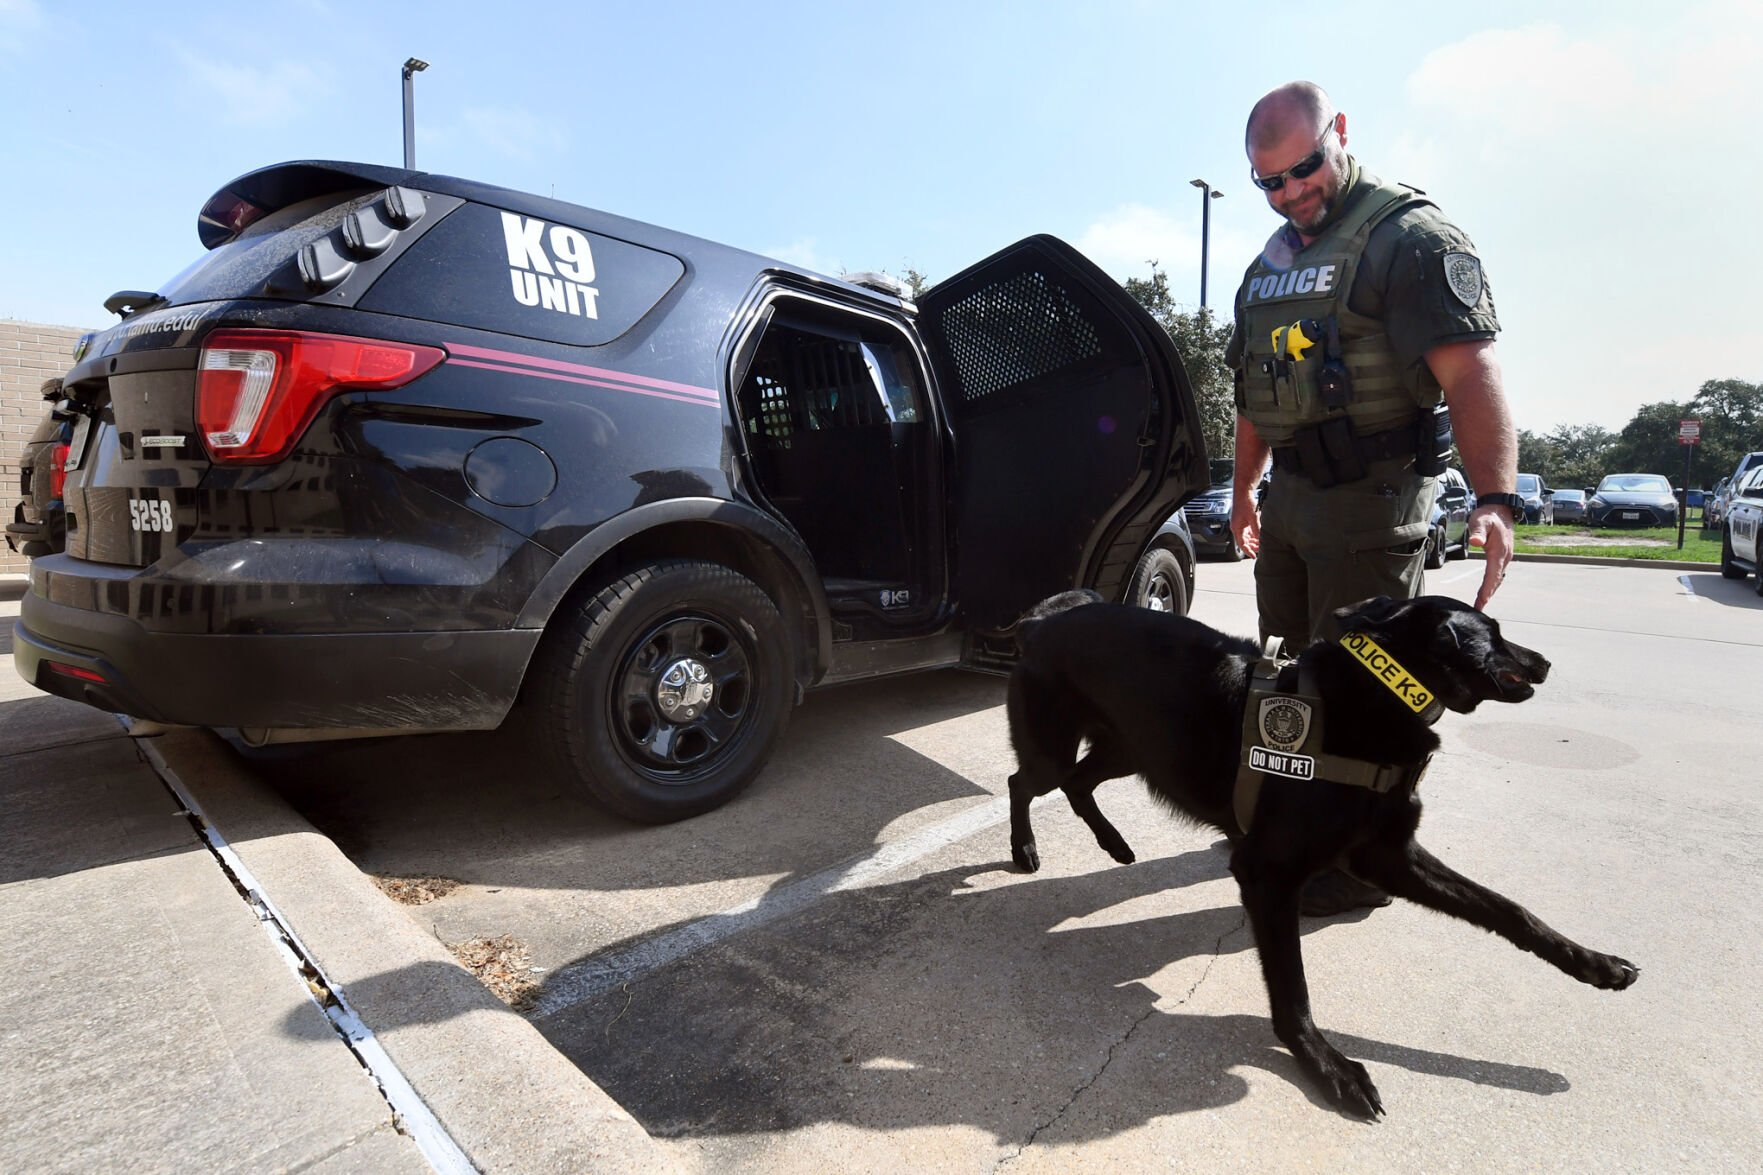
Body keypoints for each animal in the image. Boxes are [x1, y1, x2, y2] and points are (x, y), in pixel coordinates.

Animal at [1008, 589, 1636, 1115]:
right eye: (1495, 633)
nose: (1544, 662)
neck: (1377, 697)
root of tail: (1041, 620)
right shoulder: (1268, 875)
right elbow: (1293, 989)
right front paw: (1327, 1064)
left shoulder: (1388, 857)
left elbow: (1508, 909)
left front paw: (1593, 964)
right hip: (1061, 749)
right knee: (1026, 782)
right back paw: (1025, 847)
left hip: (1132, 748)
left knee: (1078, 784)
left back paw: (1113, 842)